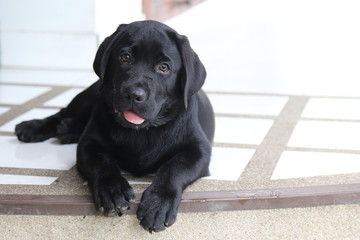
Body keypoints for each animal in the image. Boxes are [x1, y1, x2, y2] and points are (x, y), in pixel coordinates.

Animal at [14, 20, 214, 232]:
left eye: (164, 67)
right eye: (125, 57)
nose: (134, 94)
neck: (142, 132)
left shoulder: (199, 150)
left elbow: (173, 168)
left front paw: (159, 204)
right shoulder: (88, 145)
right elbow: (103, 164)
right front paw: (113, 190)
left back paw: (67, 130)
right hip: (90, 94)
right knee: (61, 113)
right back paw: (33, 127)